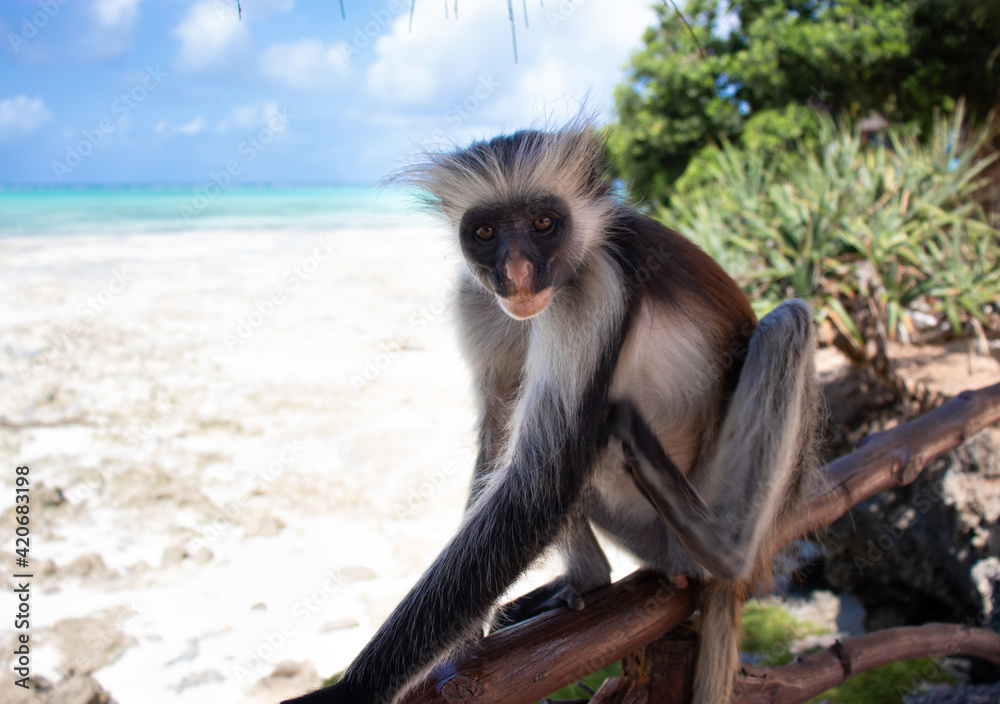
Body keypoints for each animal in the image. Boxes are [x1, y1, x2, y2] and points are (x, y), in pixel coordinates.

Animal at [284, 122, 821, 704]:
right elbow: (504, 440)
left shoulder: (594, 284)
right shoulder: (477, 293)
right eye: (486, 232)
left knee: (785, 323)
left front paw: (350, 691)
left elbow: (537, 486)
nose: (517, 273)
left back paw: (724, 548)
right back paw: (589, 579)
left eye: (543, 223)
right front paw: (462, 637)